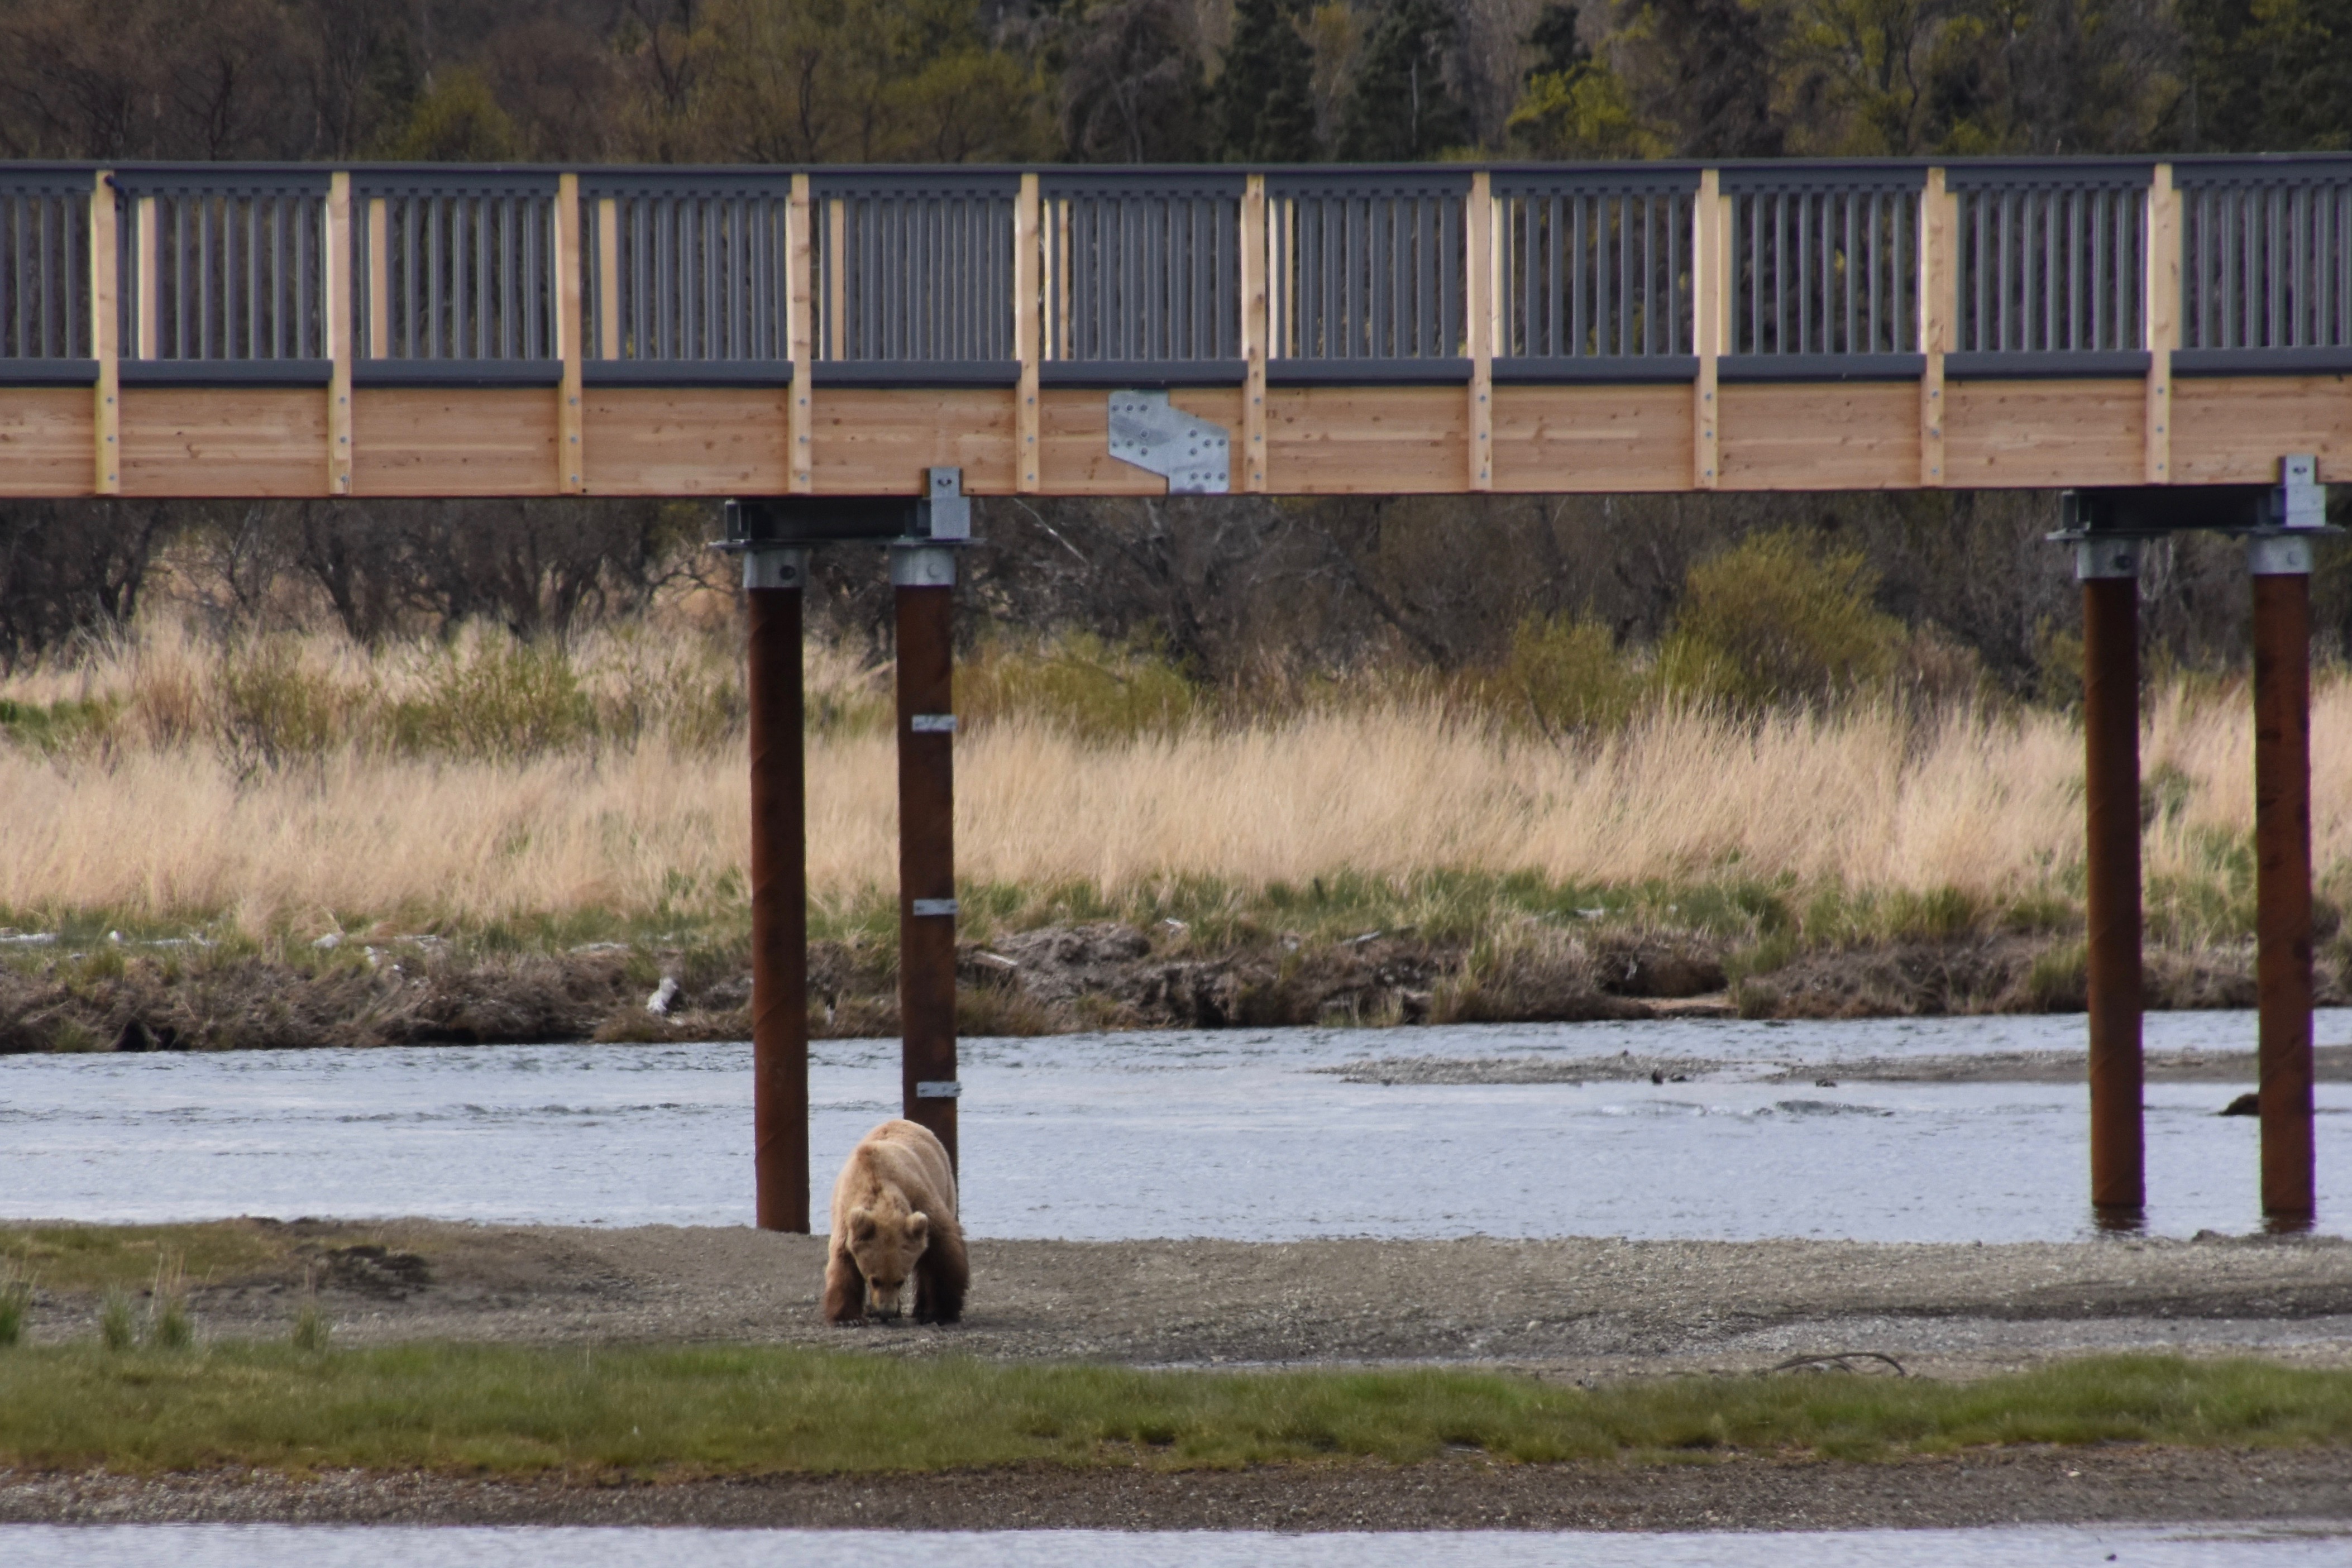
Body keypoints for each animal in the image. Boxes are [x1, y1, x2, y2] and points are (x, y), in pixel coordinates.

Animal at [824, 1119, 967, 1325]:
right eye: (875, 1280)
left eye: (900, 1281)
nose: (886, 1313)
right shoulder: (847, 1214)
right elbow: (843, 1262)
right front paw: (848, 1318)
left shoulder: (918, 1197)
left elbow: (942, 1251)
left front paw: (941, 1312)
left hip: (946, 1185)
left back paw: (921, 1309)